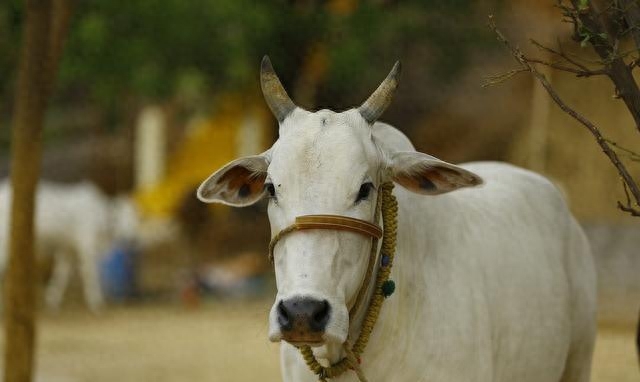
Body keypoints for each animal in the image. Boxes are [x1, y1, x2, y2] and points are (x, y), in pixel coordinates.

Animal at [0, 180, 139, 310]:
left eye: (136, 217)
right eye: (120, 217)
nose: (133, 238)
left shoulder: (68, 249)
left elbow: (62, 274)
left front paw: (52, 300)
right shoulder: (87, 247)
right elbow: (90, 274)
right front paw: (96, 303)